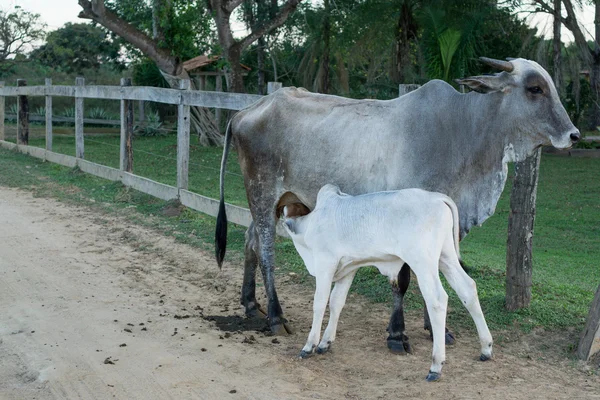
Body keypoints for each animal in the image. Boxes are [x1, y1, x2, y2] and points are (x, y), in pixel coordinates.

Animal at [214, 57, 576, 354]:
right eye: (535, 88)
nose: (573, 135)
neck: (463, 133)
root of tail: (247, 111)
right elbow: (402, 280)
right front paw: (398, 335)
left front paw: (438, 331)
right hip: (263, 193)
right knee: (266, 250)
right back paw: (275, 316)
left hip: (276, 200)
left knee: (249, 240)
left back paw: (250, 304)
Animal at [284, 184, 492, 382]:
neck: (311, 224)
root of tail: (437, 197)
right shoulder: (348, 269)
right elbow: (337, 302)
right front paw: (325, 343)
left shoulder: (325, 265)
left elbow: (319, 304)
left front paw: (309, 345)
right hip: (446, 257)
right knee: (467, 288)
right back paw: (486, 348)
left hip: (423, 262)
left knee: (437, 299)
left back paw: (436, 366)